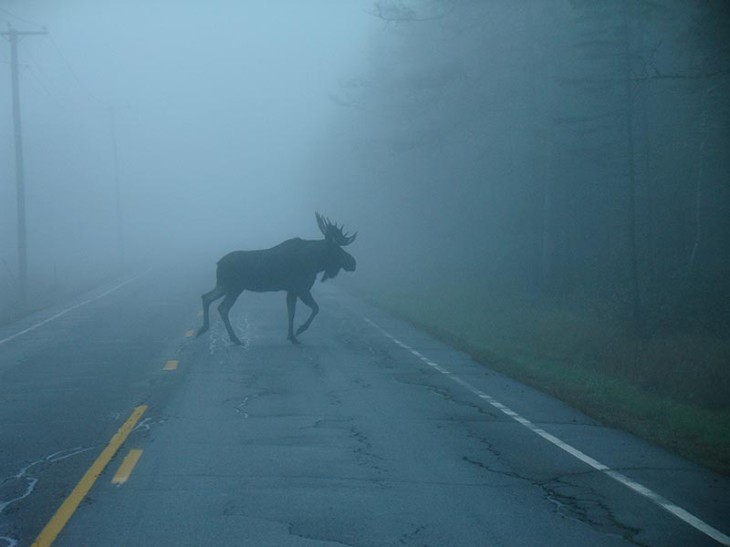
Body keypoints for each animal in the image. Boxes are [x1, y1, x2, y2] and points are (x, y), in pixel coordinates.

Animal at [196, 212, 356, 344]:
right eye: (337, 249)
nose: (353, 262)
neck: (315, 263)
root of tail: (218, 264)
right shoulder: (301, 289)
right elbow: (315, 308)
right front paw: (300, 330)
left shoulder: (291, 291)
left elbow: (291, 313)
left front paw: (292, 337)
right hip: (234, 288)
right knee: (222, 308)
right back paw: (235, 339)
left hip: (224, 285)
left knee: (206, 297)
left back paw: (203, 329)